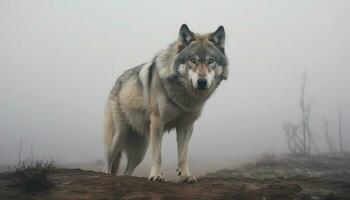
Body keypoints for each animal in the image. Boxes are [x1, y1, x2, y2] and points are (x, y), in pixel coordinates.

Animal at [102, 23, 228, 183]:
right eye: (192, 60)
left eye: (211, 61)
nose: (202, 82)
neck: (184, 96)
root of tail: (117, 81)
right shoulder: (158, 122)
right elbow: (157, 155)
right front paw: (156, 176)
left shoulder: (186, 125)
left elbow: (183, 155)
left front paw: (185, 176)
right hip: (117, 138)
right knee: (107, 164)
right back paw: (106, 175)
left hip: (139, 152)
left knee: (126, 171)